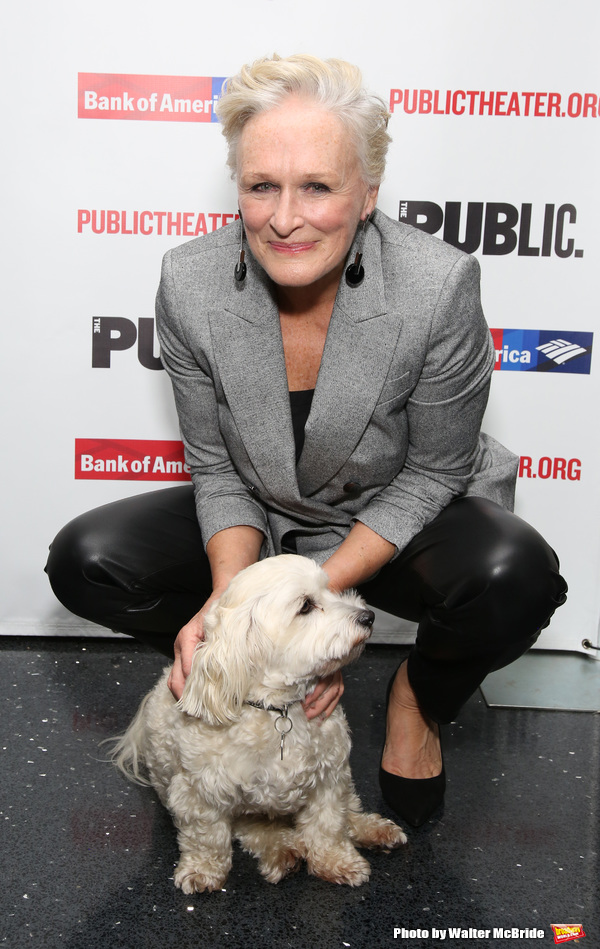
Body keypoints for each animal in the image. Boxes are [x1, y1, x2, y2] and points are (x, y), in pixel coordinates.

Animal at [110, 552, 406, 892]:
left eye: (330, 590)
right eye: (306, 606)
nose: (368, 617)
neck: (275, 709)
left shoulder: (330, 777)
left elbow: (329, 824)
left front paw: (336, 861)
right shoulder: (198, 793)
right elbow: (206, 838)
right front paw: (203, 869)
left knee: (348, 808)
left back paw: (371, 829)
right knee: (256, 828)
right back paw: (282, 852)